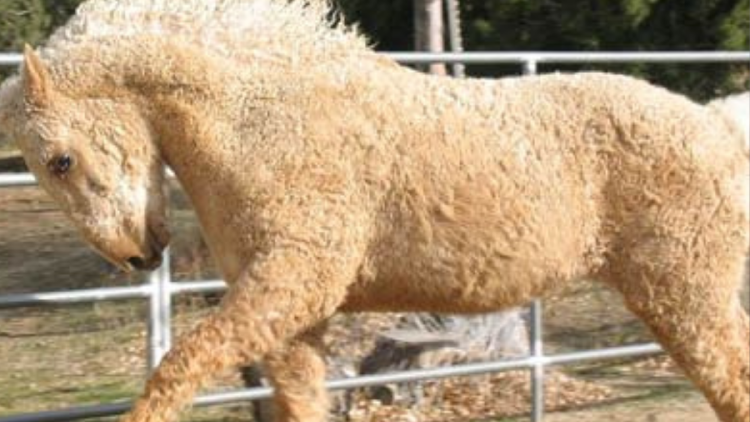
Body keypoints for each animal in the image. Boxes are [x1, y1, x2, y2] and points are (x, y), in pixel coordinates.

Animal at [0, 1, 747, 421]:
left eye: (59, 160)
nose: (137, 254)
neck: (259, 121)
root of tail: (717, 125)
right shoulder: (293, 318)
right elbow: (297, 401)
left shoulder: (289, 286)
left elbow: (176, 370)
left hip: (685, 297)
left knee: (732, 383)